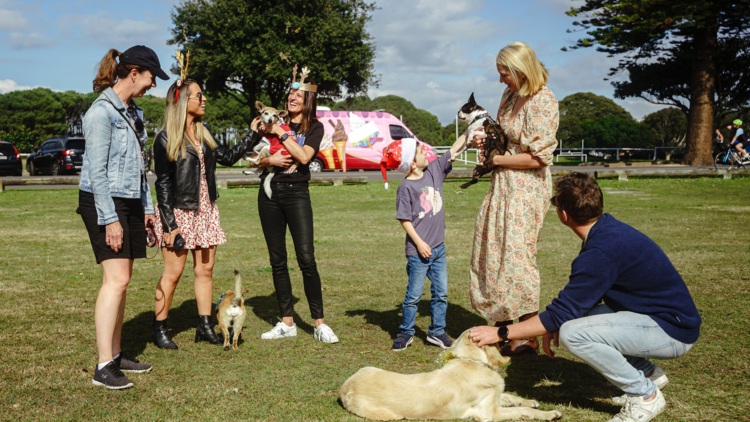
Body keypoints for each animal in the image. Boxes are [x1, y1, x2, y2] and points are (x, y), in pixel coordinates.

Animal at [340, 332, 560, 420]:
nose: (504, 333)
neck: (471, 362)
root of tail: (345, 388)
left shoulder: (495, 397)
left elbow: (512, 397)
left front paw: (532, 401)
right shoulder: (490, 413)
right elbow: (522, 411)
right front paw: (550, 414)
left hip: (367, 368)